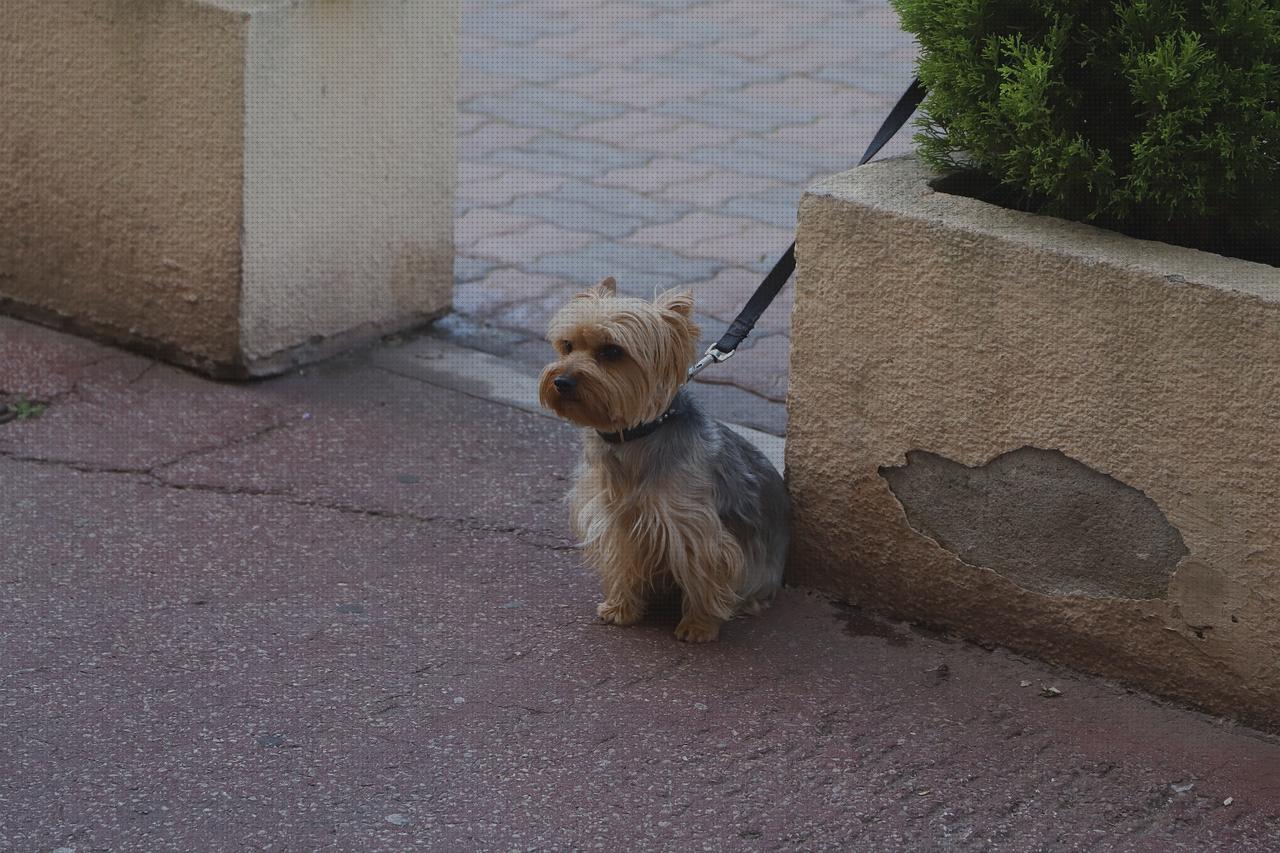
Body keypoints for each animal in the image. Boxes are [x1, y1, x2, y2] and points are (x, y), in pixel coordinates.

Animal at [535, 275, 783, 640]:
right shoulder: (619, 521)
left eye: (612, 351)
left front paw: (699, 624)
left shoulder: (693, 527)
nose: (562, 380)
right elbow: (623, 561)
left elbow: (705, 570)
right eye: (567, 346)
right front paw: (621, 607)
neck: (637, 434)